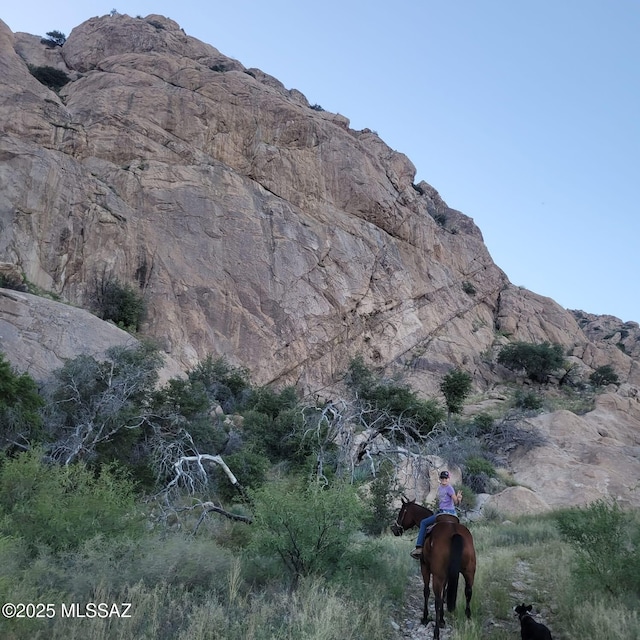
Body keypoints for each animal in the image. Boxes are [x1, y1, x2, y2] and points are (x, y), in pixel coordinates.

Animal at [390, 498, 476, 636]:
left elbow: (426, 591)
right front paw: (442, 620)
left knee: (437, 599)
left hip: (437, 575)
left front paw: (425, 618)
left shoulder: (425, 568)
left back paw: (436, 633)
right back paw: (468, 622)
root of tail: (454, 532)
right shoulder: (447, 575)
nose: (395, 529)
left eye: (401, 511)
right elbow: (445, 592)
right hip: (469, 571)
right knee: (468, 593)